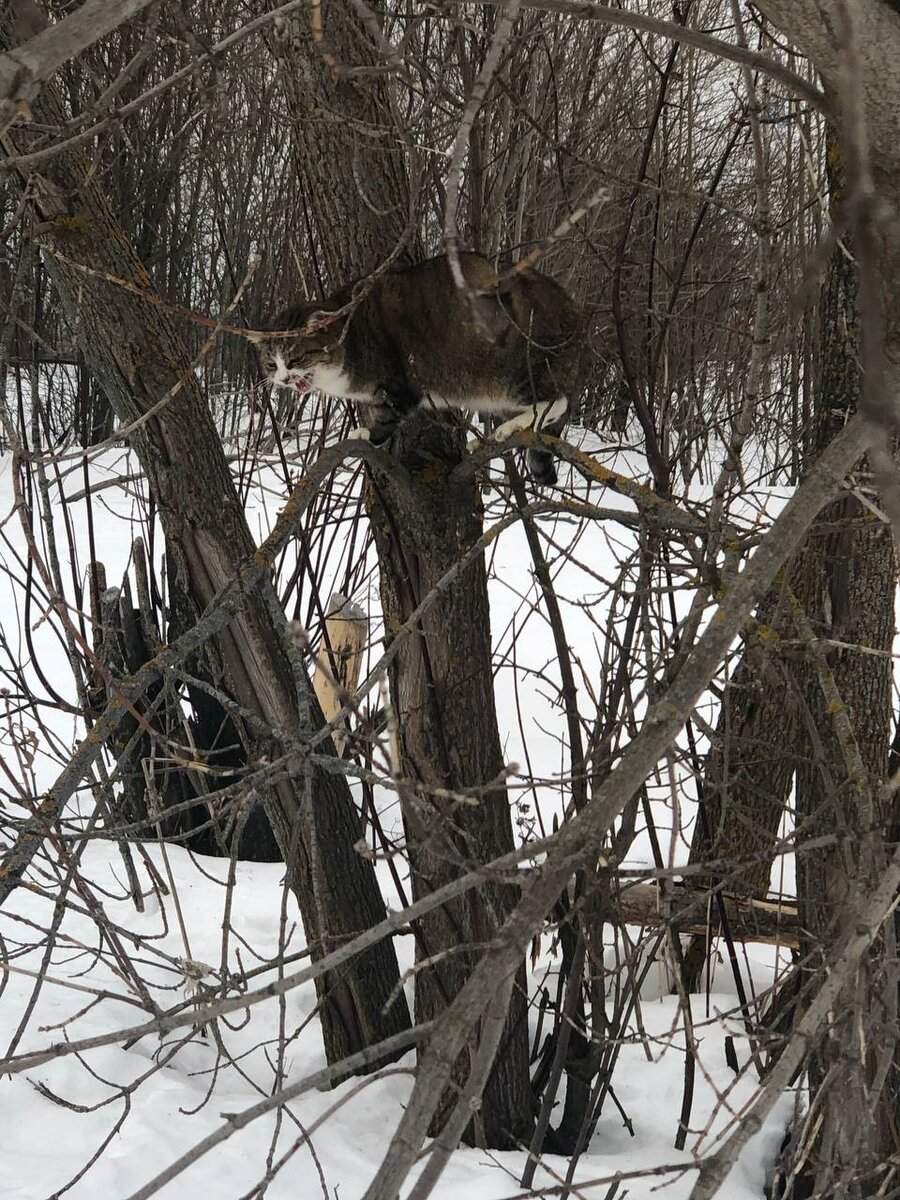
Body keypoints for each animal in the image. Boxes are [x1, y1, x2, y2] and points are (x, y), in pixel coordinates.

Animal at [252, 250, 585, 484]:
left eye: (294, 359)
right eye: (270, 363)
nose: (283, 378)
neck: (351, 338)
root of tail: (573, 309)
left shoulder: (398, 380)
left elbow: (387, 417)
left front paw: (366, 435)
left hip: (513, 369)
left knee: (555, 401)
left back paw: (509, 428)